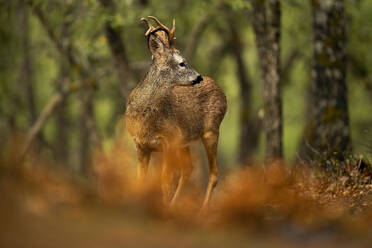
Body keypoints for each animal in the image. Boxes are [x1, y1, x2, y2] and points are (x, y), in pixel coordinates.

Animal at [125, 16, 227, 209]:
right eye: (182, 63)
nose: (199, 77)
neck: (145, 121)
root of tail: (220, 89)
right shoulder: (140, 146)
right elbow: (139, 182)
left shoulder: (168, 142)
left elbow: (165, 183)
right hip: (184, 140)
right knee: (188, 170)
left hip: (211, 130)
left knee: (214, 174)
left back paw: (202, 210)